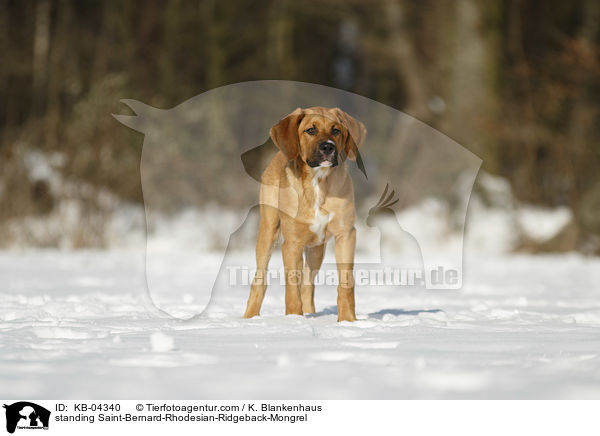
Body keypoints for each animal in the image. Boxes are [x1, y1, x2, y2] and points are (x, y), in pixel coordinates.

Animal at [243, 107, 366, 322]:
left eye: (336, 130)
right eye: (310, 130)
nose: (328, 147)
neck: (318, 183)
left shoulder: (346, 235)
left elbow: (345, 283)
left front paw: (347, 320)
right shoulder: (292, 243)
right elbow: (292, 288)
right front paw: (294, 320)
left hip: (317, 248)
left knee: (308, 284)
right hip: (268, 231)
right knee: (260, 279)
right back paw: (250, 317)